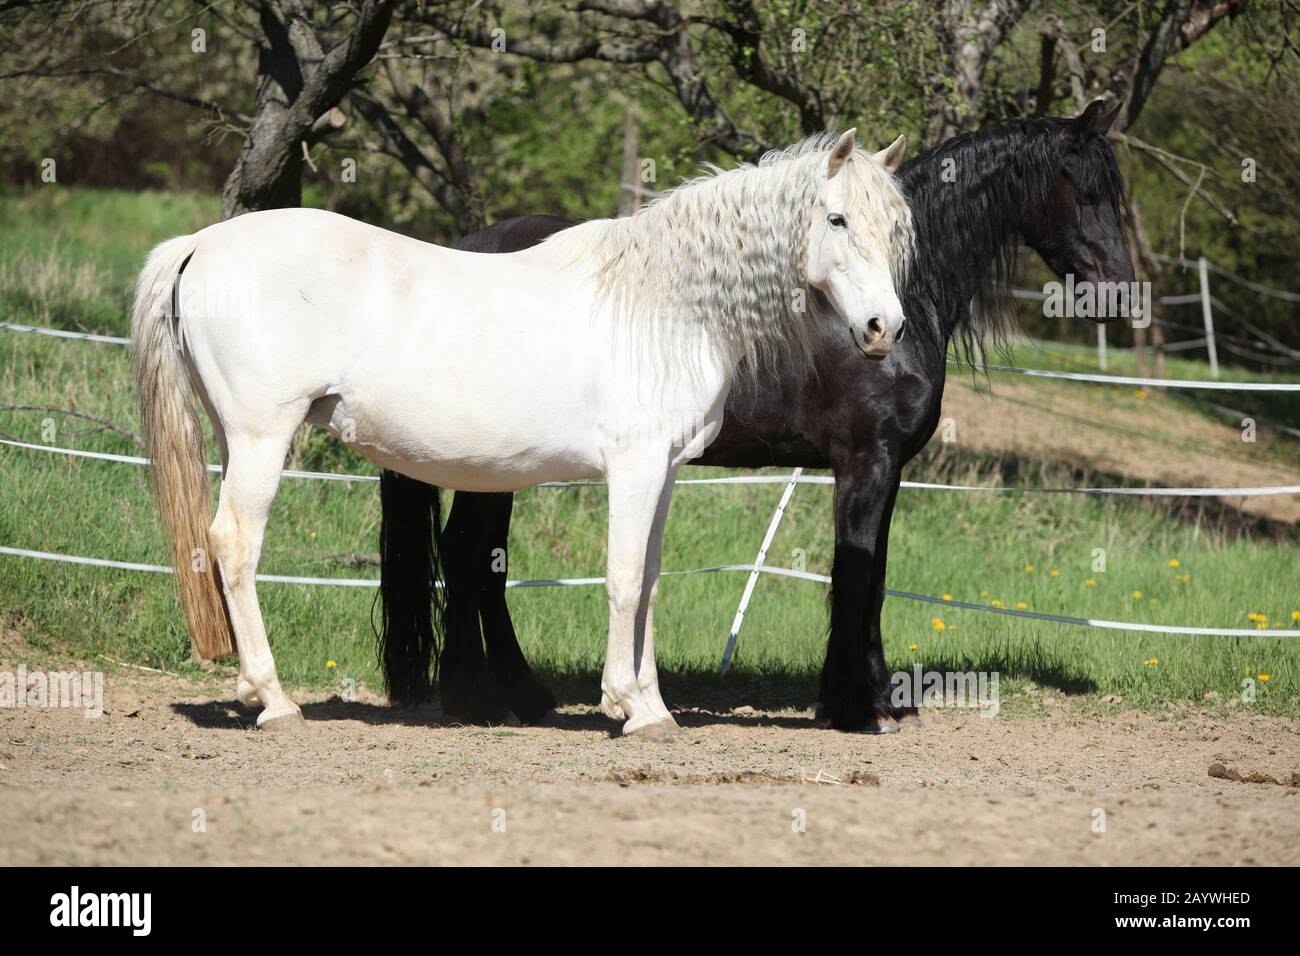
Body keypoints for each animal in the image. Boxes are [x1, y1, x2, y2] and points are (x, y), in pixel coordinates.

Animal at [131, 129, 916, 735]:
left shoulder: (664, 471)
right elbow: (623, 578)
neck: (661, 303)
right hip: (263, 438)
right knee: (234, 545)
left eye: (895, 229)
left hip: (235, 438)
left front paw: (655, 706)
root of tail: (202, 243)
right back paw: (275, 700)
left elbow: (650, 583)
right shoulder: (633, 466)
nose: (885, 328)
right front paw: (627, 706)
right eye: (838, 219)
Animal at [378, 99, 1136, 731]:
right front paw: (857, 707)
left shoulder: (881, 468)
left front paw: (874, 697)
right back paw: (484, 698)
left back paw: (510, 695)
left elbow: (875, 573)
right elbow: (858, 575)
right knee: (468, 553)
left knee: (475, 558)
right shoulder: (867, 462)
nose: (1122, 295)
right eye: (1086, 192)